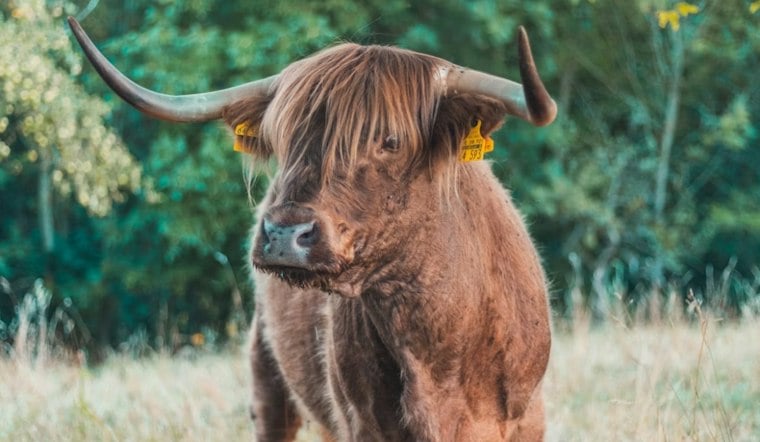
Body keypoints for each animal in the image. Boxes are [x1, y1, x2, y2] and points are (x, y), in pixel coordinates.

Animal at [69, 17, 556, 441]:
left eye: (391, 140)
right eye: (282, 138)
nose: (285, 236)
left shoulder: (526, 420)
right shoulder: (362, 423)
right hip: (266, 378)